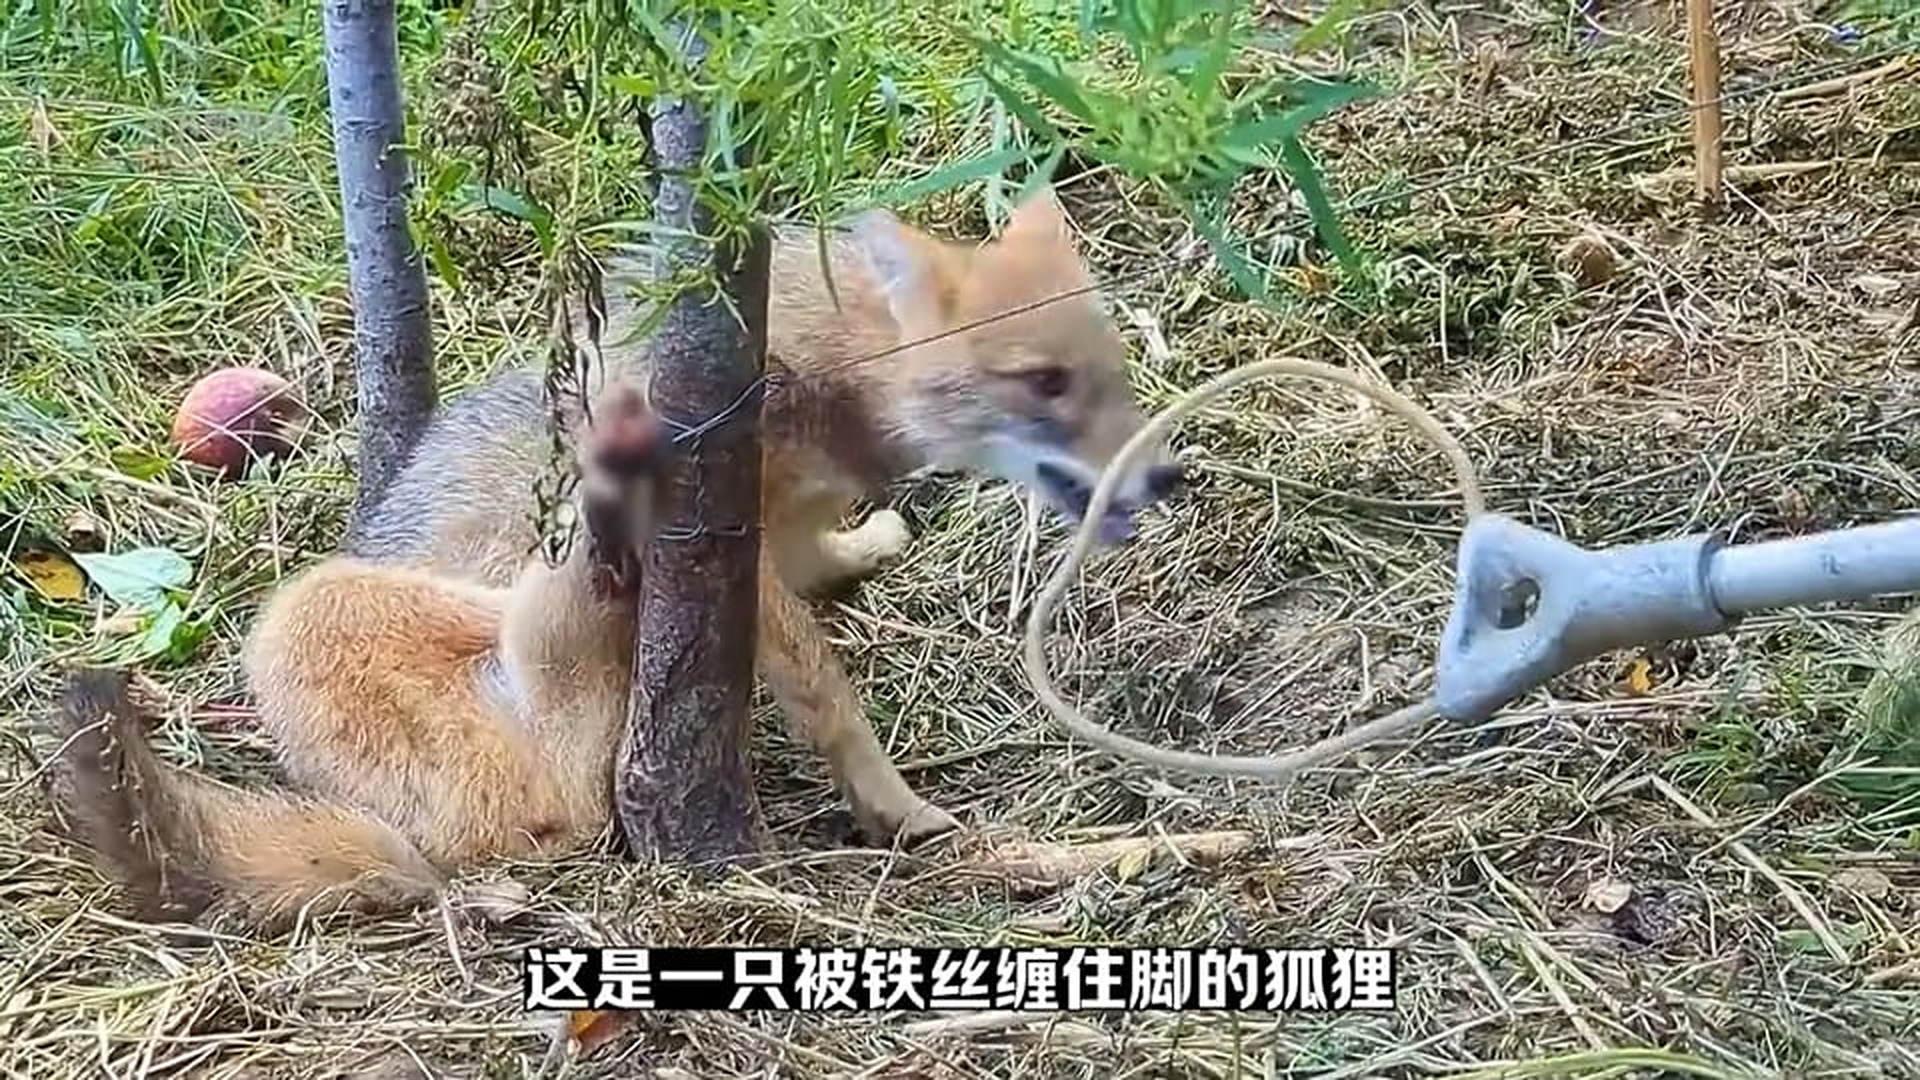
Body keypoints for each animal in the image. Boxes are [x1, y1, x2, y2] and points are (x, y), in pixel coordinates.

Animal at [47, 185, 1184, 933]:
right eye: (1042, 383)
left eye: (1112, 373)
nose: (1167, 475)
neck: (828, 370)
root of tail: (415, 847)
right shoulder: (740, 552)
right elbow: (832, 699)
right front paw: (897, 808)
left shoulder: (786, 537)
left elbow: (834, 564)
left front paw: (878, 539)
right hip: (331, 616)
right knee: (577, 794)